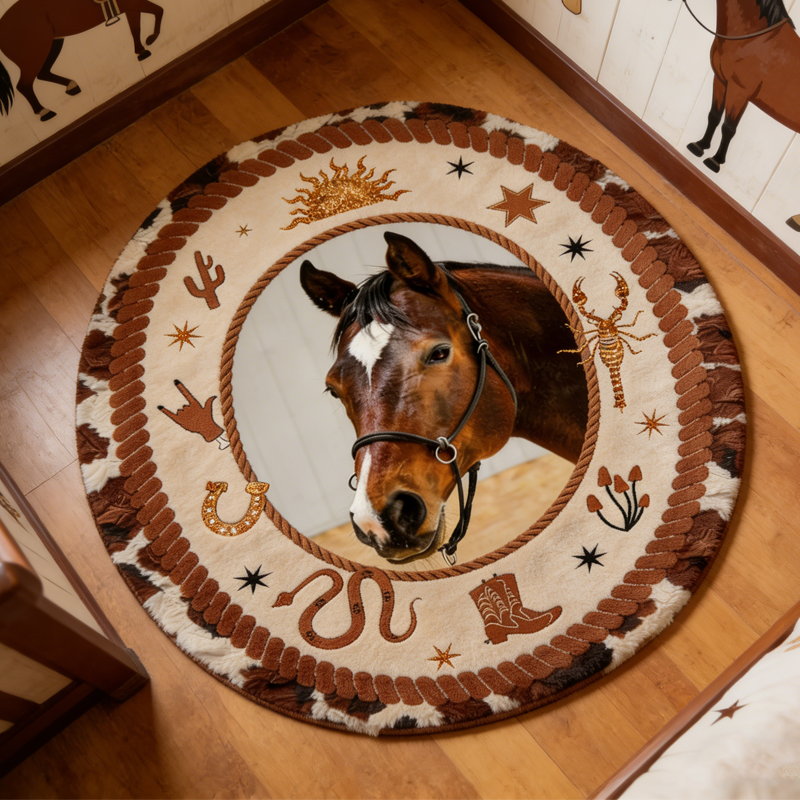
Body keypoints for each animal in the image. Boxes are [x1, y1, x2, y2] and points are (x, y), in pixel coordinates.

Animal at [0, 0, 163, 121]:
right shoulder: (134, 3)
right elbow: (158, 11)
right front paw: (151, 39)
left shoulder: (130, 7)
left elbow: (136, 28)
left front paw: (142, 51)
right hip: (35, 56)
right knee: (24, 85)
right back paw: (45, 112)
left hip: (53, 44)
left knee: (42, 73)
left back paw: (71, 86)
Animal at [682, 0, 800, 172]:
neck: (756, 40)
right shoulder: (721, 81)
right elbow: (714, 115)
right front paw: (700, 146)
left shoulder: (739, 92)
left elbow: (728, 128)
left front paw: (715, 161)